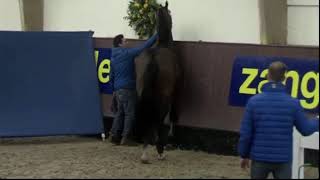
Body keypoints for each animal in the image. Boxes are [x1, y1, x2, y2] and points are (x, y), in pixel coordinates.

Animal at [134, 1, 181, 163]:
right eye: (170, 12)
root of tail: (153, 58)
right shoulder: (173, 94)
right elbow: (169, 117)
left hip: (142, 94)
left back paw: (145, 149)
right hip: (163, 98)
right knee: (159, 120)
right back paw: (159, 150)